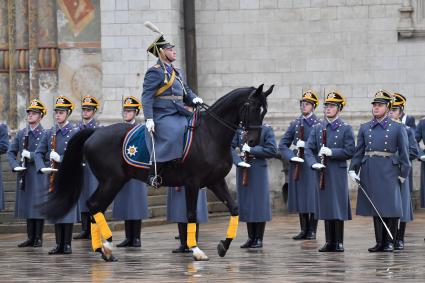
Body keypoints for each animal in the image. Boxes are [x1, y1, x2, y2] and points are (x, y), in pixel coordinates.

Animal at [42, 84, 272, 262]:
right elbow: (191, 214)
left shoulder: (216, 181)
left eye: (264, 111)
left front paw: (224, 244)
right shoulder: (193, 182)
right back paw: (105, 246)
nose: (252, 141)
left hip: (113, 182)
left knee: (93, 207)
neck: (210, 134)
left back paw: (102, 249)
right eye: (251, 107)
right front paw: (196, 250)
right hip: (111, 181)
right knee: (93, 205)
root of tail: (94, 132)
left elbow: (234, 209)